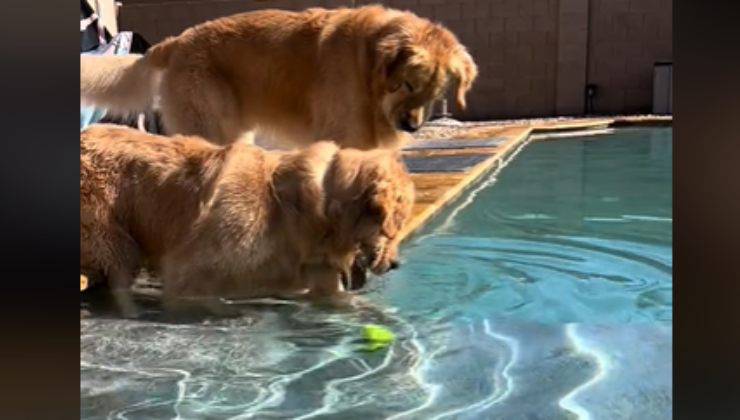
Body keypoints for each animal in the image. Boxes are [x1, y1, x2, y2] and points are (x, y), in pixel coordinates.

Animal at [80, 124, 415, 314]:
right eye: (393, 230)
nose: (397, 264)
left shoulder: (317, 274)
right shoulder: (191, 267)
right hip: (112, 235)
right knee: (119, 276)